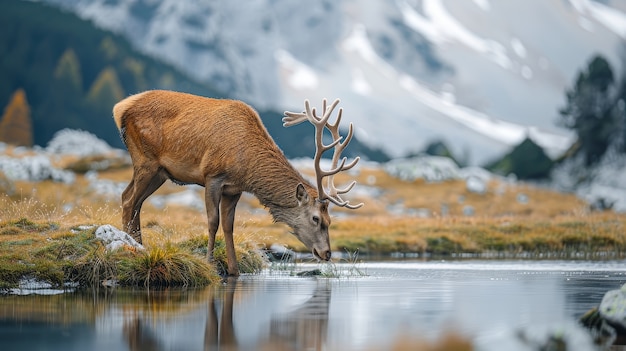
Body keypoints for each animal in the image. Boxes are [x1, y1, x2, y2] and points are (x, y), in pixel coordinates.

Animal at [111, 91, 360, 278]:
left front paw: (234, 270)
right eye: (316, 219)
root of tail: (119, 108)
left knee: (135, 202)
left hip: (159, 173)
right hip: (145, 160)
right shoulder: (212, 176)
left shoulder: (234, 189)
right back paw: (133, 248)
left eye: (330, 220)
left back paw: (140, 245)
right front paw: (210, 264)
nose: (327, 253)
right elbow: (213, 222)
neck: (246, 167)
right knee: (128, 199)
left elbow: (229, 225)